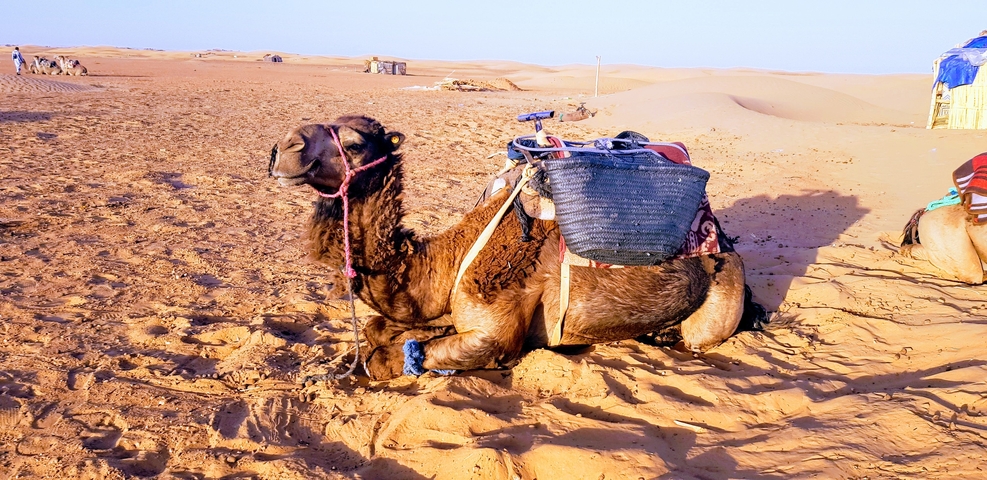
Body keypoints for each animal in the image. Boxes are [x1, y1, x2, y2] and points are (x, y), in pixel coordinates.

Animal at [269, 115, 764, 381]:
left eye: (353, 143)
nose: (284, 148)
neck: (446, 261)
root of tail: (722, 240)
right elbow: (376, 328)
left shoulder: (494, 331)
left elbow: (385, 358)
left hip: (720, 297)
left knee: (701, 336)